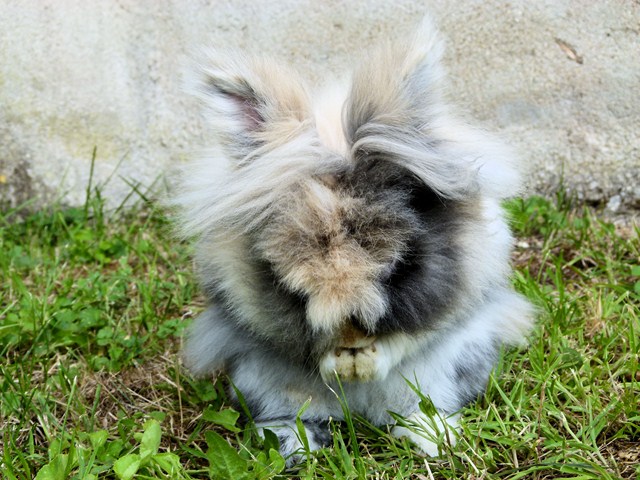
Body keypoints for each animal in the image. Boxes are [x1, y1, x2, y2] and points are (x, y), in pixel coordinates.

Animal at [171, 17, 535, 465]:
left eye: (401, 267)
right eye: (285, 281)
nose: (351, 340)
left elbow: (411, 336)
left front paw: (366, 362)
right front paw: (340, 363)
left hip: (453, 365)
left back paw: (432, 437)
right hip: (261, 381)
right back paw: (293, 445)